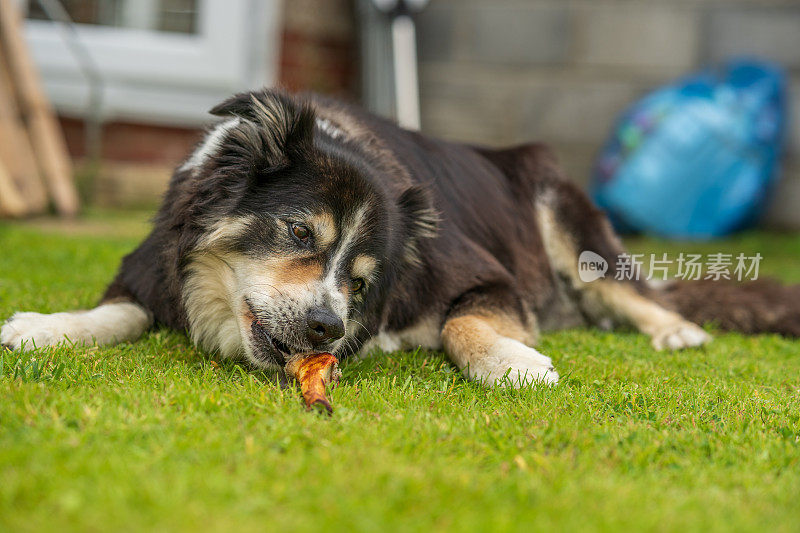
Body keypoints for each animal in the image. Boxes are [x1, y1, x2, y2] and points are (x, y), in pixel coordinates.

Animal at [1, 89, 800, 384]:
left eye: (362, 280)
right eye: (300, 230)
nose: (327, 327)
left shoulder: (489, 277)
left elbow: (461, 324)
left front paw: (512, 361)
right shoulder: (152, 269)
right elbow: (113, 311)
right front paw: (41, 326)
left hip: (563, 219)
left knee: (632, 290)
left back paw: (674, 330)